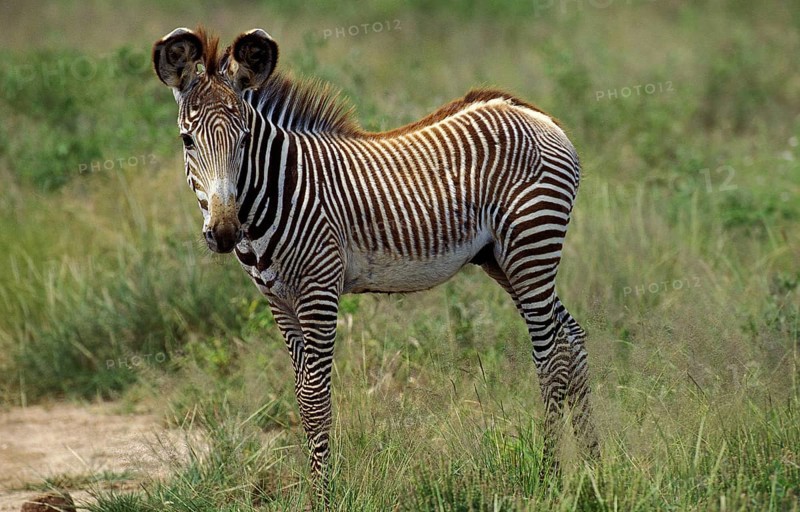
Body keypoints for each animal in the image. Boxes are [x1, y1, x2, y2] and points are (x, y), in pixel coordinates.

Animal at [153, 26, 599, 504]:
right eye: (187, 140)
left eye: (243, 140)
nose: (223, 232)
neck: (278, 190)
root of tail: (540, 118)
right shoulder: (278, 301)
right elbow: (300, 396)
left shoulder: (319, 290)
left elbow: (316, 399)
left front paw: (324, 499)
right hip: (503, 260)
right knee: (571, 337)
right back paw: (595, 465)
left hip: (531, 245)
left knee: (550, 357)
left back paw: (550, 477)